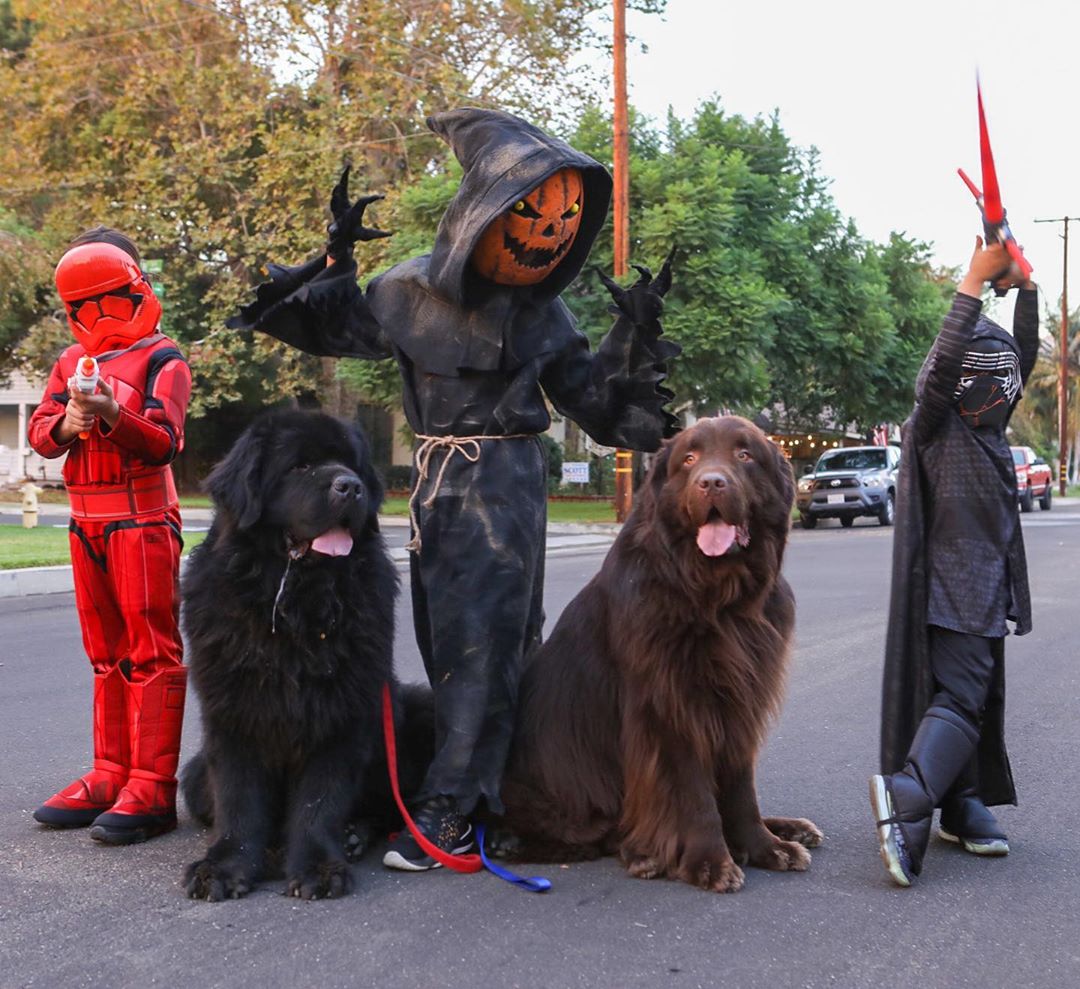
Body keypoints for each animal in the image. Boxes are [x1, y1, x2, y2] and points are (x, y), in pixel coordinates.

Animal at [180, 410, 425, 902]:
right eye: (300, 466)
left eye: (351, 463)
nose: (350, 486)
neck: (296, 604)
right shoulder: (233, 713)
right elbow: (238, 797)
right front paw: (225, 866)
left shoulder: (342, 713)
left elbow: (320, 797)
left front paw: (317, 866)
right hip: (193, 776)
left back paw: (352, 836)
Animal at [494, 412, 816, 893]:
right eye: (689, 459)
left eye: (745, 454)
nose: (712, 483)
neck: (715, 597)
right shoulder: (671, 705)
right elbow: (693, 792)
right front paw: (710, 861)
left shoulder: (739, 703)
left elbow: (741, 790)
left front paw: (764, 846)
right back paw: (639, 853)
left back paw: (791, 829)